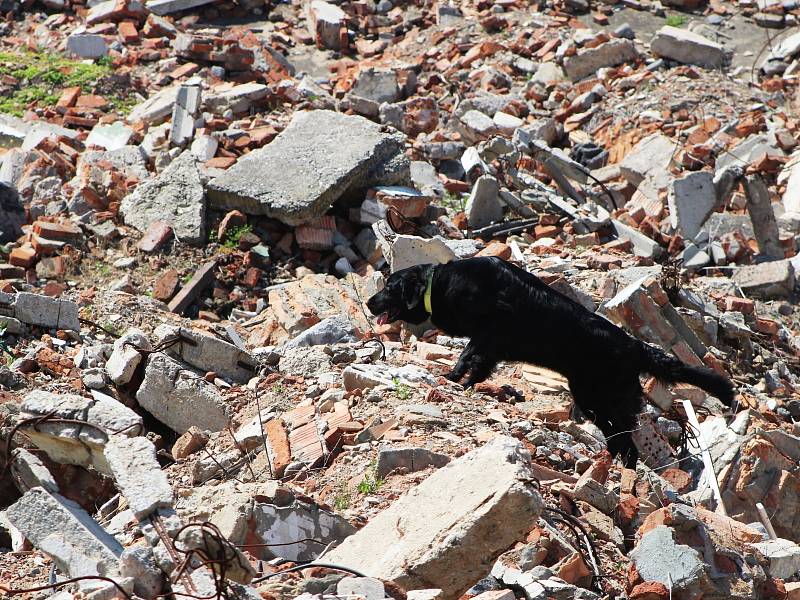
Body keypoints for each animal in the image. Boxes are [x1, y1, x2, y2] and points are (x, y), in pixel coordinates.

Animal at [366, 255, 736, 466]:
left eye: (389, 286)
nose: (369, 302)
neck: (442, 283)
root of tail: (636, 347)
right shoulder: (492, 347)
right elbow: (480, 365)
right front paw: (468, 382)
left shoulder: (490, 331)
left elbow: (467, 355)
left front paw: (453, 376)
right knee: (624, 443)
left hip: (596, 399)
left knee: (626, 446)